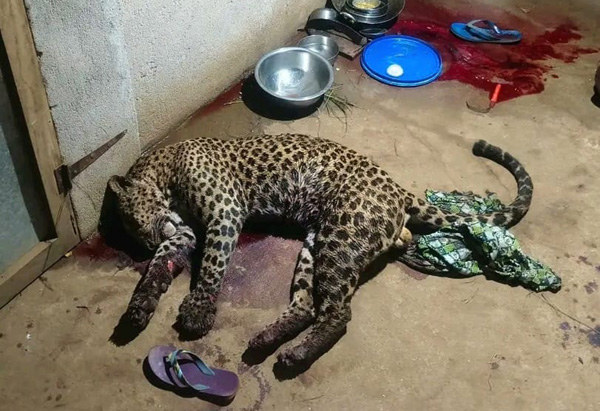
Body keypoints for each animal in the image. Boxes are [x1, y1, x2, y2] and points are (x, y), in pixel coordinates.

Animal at [108, 133, 533, 369]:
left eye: (130, 223)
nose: (143, 243)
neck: (166, 171)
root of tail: (400, 189)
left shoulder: (224, 213)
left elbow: (212, 264)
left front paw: (197, 311)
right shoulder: (182, 233)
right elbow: (158, 267)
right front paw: (139, 308)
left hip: (340, 238)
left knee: (338, 314)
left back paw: (295, 356)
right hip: (317, 244)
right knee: (308, 306)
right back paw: (268, 340)